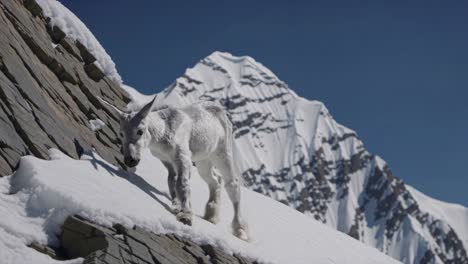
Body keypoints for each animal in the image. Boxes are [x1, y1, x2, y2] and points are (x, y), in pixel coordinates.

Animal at [101, 97, 250, 241]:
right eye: (122, 133)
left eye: (140, 131)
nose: (130, 160)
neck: (161, 134)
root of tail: (222, 112)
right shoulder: (166, 160)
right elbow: (171, 180)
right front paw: (177, 205)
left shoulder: (182, 156)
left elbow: (182, 183)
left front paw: (186, 216)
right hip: (203, 159)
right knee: (215, 180)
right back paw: (211, 215)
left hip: (222, 152)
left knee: (232, 183)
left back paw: (240, 229)